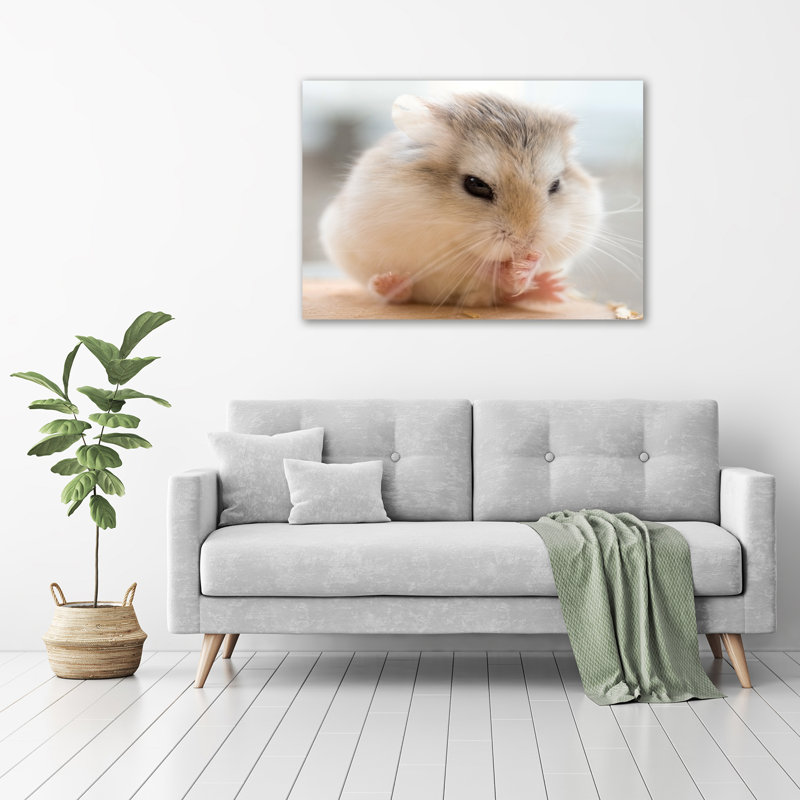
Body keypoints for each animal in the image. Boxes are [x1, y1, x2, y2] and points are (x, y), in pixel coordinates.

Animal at [319, 93, 602, 308]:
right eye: (476, 185)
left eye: (556, 185)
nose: (524, 244)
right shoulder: (423, 242)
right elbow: (468, 262)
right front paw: (506, 269)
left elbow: (542, 255)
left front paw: (527, 267)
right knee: (398, 294)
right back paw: (390, 284)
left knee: (507, 296)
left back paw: (551, 288)